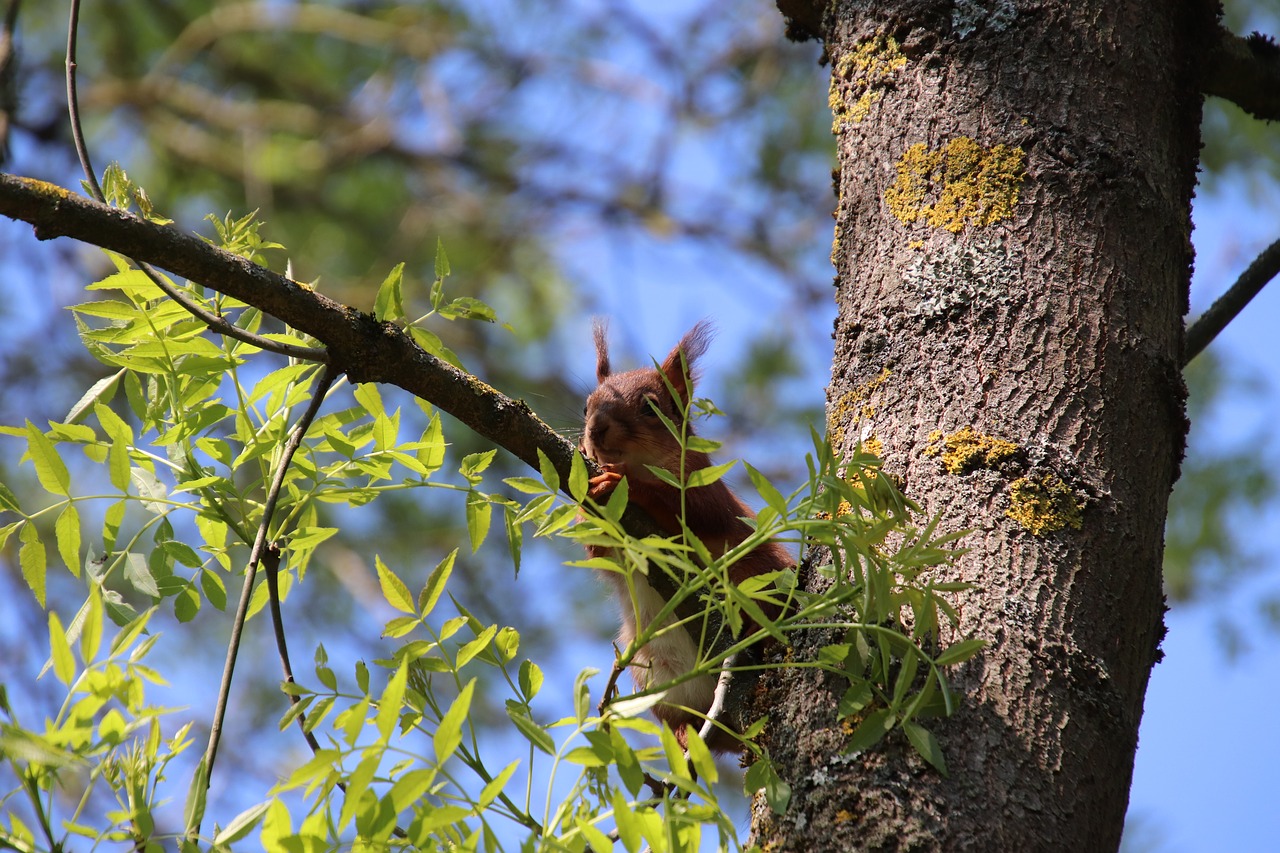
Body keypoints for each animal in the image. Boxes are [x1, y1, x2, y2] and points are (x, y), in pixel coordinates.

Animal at [581, 318, 788, 753]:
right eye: (585, 406)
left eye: (650, 407)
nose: (595, 429)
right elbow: (599, 553)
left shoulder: (707, 491)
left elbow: (692, 513)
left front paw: (622, 483)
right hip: (654, 679)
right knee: (683, 719)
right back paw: (683, 736)